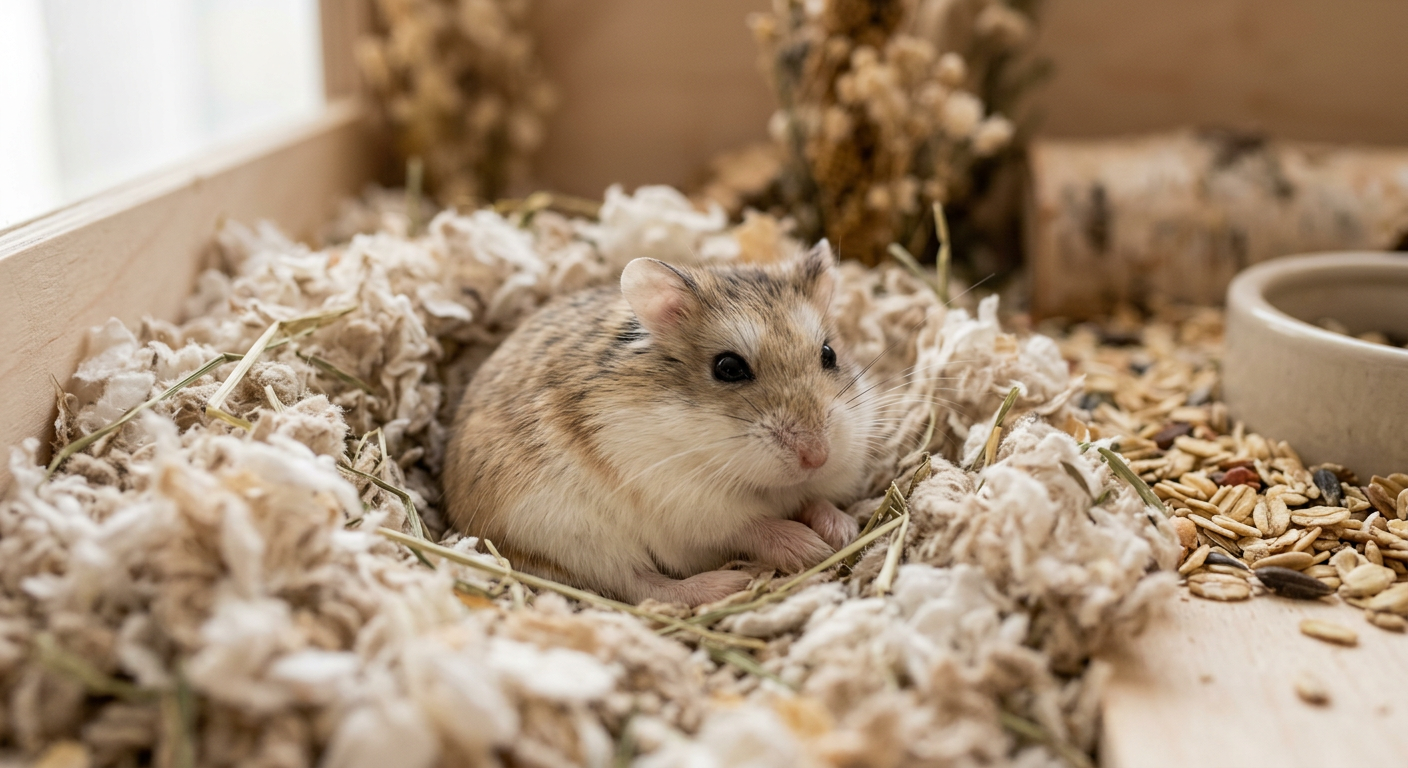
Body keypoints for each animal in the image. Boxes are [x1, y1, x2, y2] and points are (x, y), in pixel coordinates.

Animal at [443, 243, 879, 606]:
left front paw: (842, 529)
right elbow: (752, 525)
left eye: (829, 354)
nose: (816, 456)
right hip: (570, 532)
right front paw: (812, 548)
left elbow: (814, 500)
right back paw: (729, 584)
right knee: (641, 585)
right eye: (728, 367)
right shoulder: (689, 504)